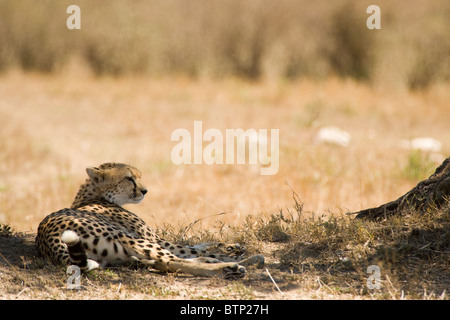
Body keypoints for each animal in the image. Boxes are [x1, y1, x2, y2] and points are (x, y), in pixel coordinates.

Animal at [36, 161, 264, 278]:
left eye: (139, 176)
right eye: (129, 178)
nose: (145, 191)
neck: (93, 195)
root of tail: (48, 238)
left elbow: (196, 245)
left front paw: (229, 246)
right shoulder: (152, 237)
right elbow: (189, 248)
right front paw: (226, 254)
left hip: (118, 254)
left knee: (164, 263)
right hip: (128, 238)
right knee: (170, 261)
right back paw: (236, 265)